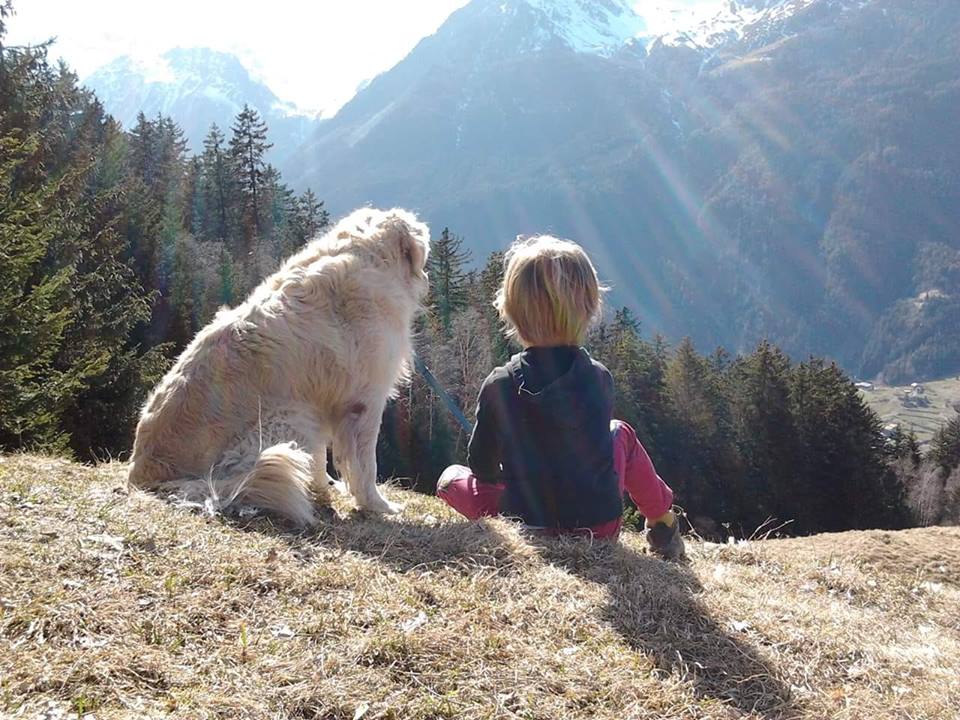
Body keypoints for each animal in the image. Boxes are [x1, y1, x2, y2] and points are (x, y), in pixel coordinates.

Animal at [127, 208, 430, 526]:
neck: (368, 253)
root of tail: (143, 478)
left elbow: (321, 460)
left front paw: (326, 489)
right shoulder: (364, 401)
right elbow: (365, 464)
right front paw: (378, 505)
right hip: (289, 416)